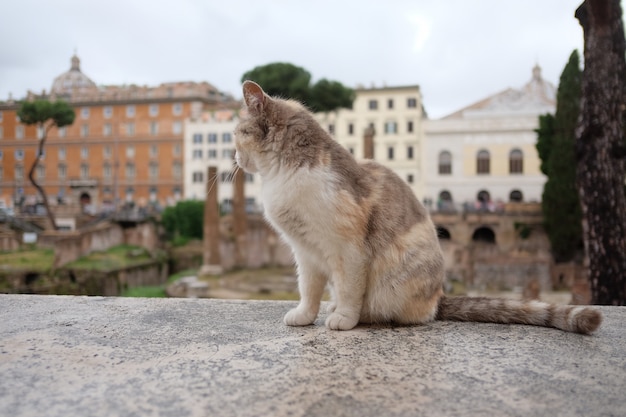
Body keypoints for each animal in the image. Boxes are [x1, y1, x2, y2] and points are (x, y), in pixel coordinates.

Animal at [233, 80, 600, 334]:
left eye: (237, 133)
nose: (234, 156)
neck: (282, 176)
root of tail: (440, 296)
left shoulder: (349, 250)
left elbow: (350, 289)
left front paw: (344, 319)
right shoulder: (305, 253)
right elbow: (308, 291)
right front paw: (305, 316)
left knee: (408, 313)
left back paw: (362, 315)